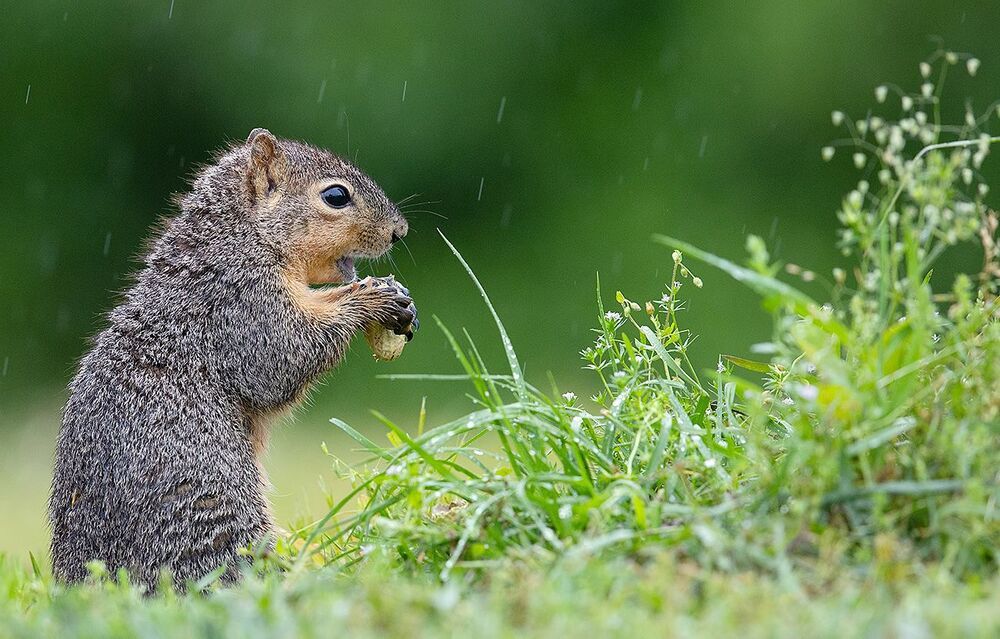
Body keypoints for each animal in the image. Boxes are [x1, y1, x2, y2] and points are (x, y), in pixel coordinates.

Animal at [49, 128, 418, 589]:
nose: (399, 231)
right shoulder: (240, 307)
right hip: (211, 514)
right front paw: (370, 298)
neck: (241, 240)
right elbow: (284, 357)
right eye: (336, 196)